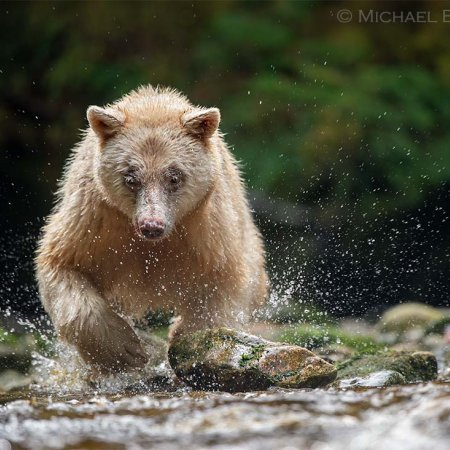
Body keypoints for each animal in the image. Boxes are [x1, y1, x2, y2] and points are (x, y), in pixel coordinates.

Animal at [36, 86, 268, 370]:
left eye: (174, 177)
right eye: (130, 178)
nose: (151, 226)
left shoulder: (207, 231)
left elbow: (222, 283)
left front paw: (188, 339)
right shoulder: (94, 220)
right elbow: (62, 264)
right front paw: (123, 350)